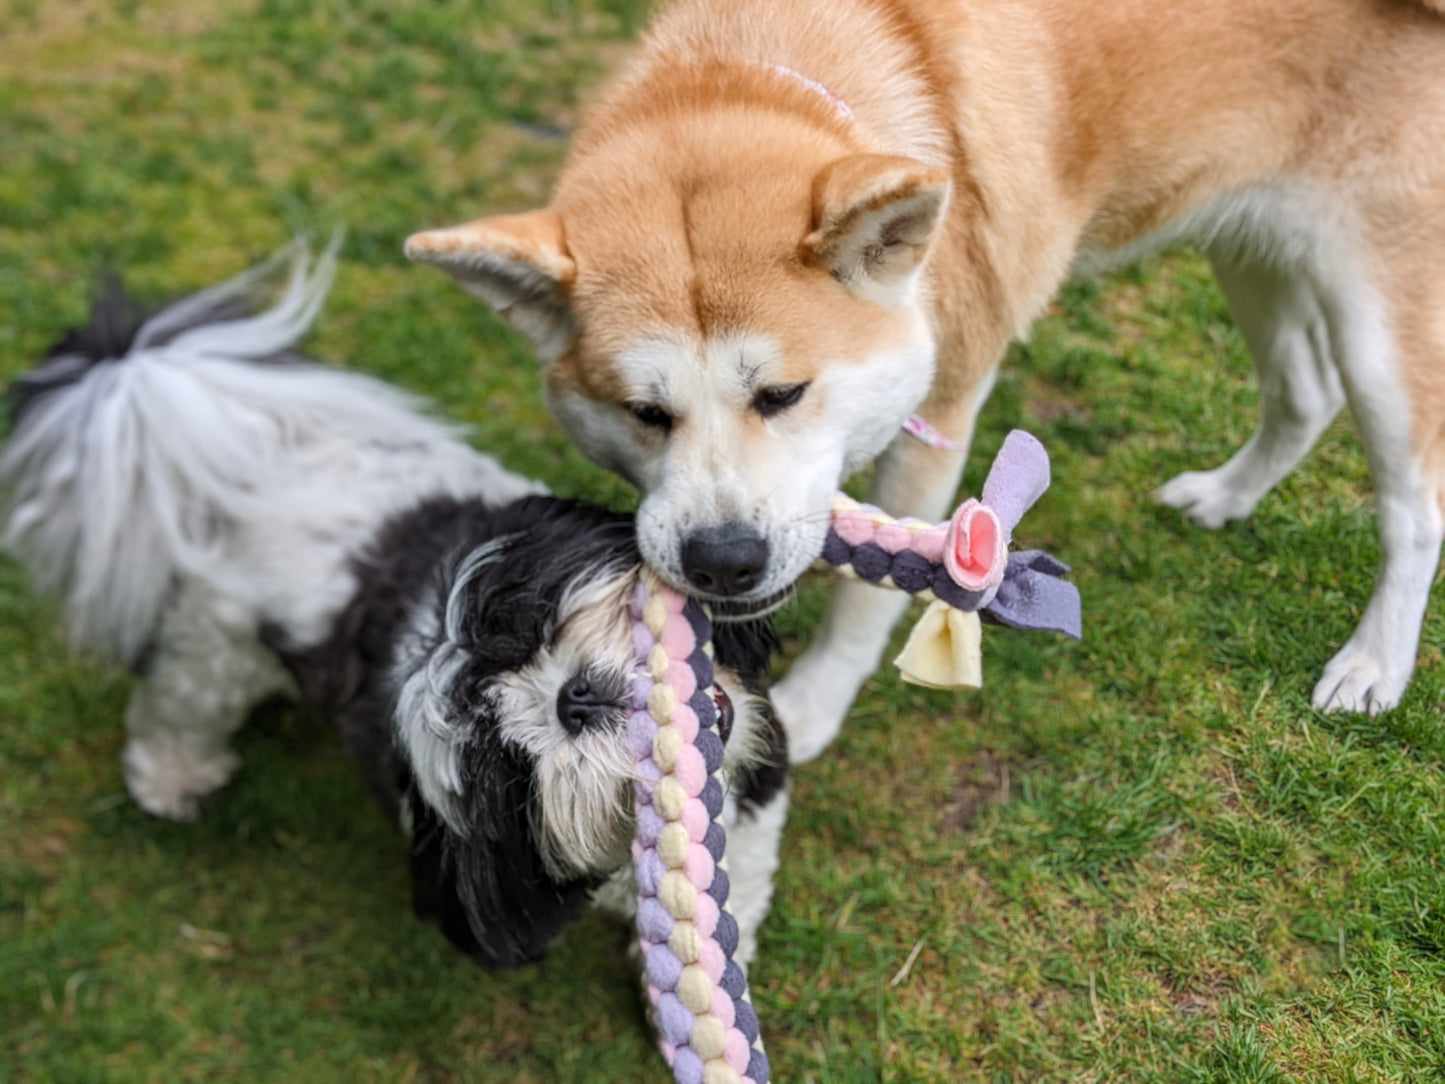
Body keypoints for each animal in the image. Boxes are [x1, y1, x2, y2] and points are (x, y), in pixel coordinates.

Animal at [0, 248, 791, 977]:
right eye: (504, 765)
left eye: (532, 622)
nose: (578, 697)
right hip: (212, 649)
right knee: (179, 705)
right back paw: (172, 780)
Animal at [404, 0, 1445, 757]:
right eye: (642, 412)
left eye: (782, 395)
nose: (723, 561)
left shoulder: (940, 412)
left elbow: (871, 596)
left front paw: (813, 705)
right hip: (1248, 248)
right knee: (1302, 393)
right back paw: (1226, 498)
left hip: (1377, 331)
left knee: (1413, 508)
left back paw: (1372, 666)